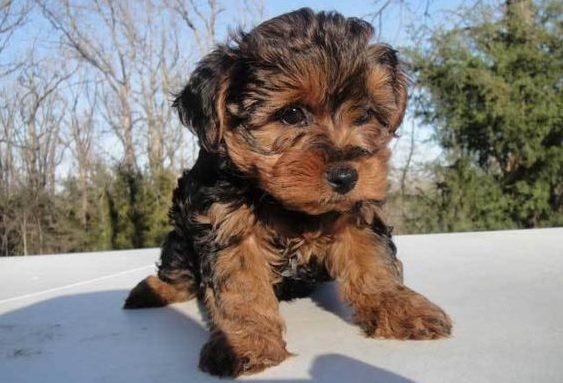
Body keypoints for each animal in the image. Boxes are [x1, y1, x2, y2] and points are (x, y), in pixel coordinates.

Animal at [124, 7, 454, 380]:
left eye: (366, 114)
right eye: (291, 114)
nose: (346, 176)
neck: (286, 204)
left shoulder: (357, 213)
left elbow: (374, 260)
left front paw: (398, 305)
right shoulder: (225, 222)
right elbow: (241, 287)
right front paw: (247, 342)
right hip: (180, 236)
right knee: (177, 269)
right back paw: (153, 289)